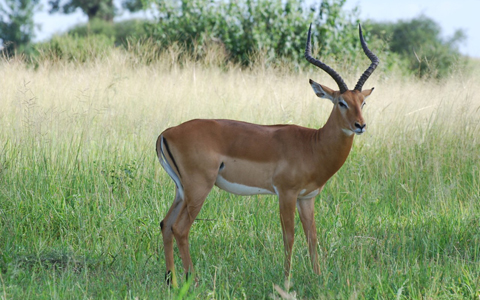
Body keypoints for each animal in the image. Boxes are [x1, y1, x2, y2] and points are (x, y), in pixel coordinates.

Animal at [158, 23, 378, 286]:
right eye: (341, 102)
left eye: (363, 102)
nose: (360, 125)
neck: (313, 145)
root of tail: (167, 133)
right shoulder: (286, 194)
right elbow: (289, 236)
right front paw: (286, 280)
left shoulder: (307, 198)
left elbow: (312, 236)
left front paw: (318, 277)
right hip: (199, 188)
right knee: (180, 228)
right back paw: (193, 280)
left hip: (181, 191)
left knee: (165, 224)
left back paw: (171, 281)